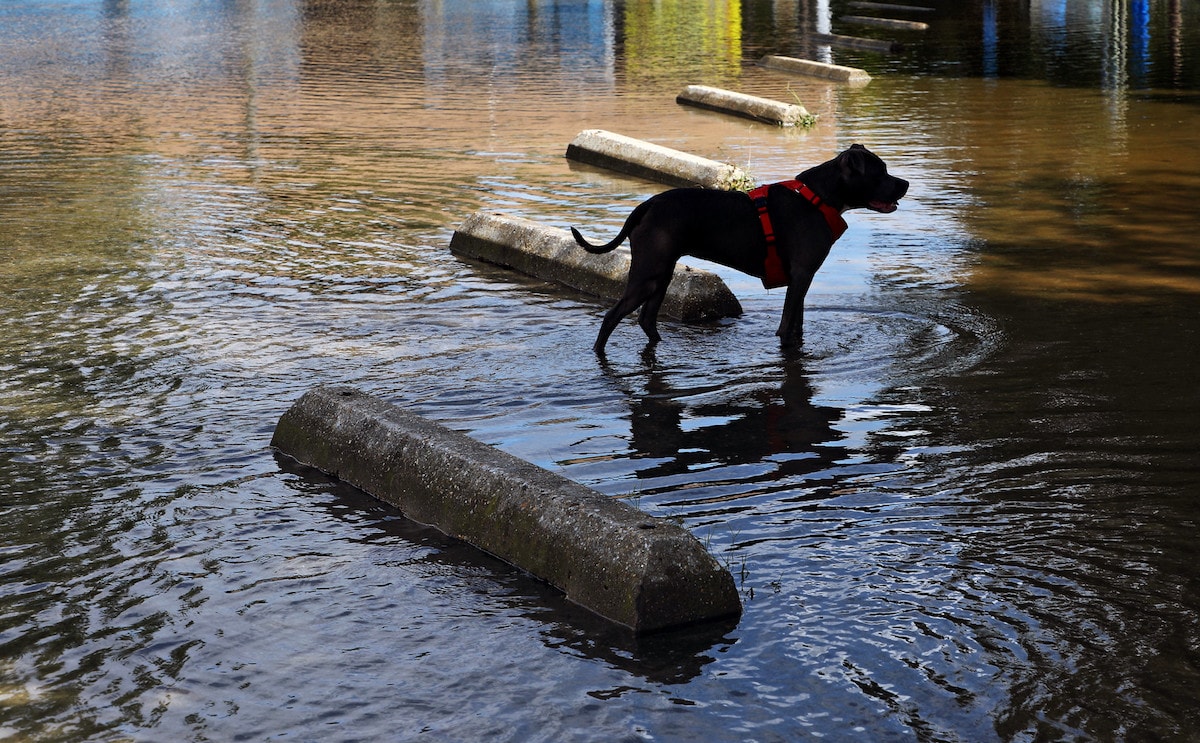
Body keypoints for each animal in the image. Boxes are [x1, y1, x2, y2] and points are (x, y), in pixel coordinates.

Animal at [573, 147, 907, 355]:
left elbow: (797, 325)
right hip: (648, 275)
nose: (904, 183)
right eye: (880, 172)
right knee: (612, 317)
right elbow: (786, 327)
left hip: (661, 275)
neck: (819, 198)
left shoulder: (801, 281)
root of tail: (647, 205)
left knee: (646, 319)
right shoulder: (801, 276)